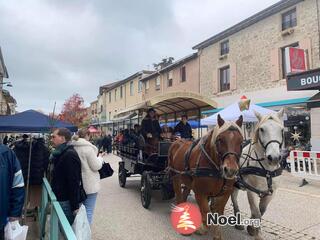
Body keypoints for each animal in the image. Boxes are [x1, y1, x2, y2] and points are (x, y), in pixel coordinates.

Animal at [231, 109, 284, 240]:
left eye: (281, 130)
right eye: (262, 129)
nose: (274, 157)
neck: (267, 170)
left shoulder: (271, 193)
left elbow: (262, 210)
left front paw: (251, 228)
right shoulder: (251, 191)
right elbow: (256, 212)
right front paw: (257, 234)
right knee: (233, 199)